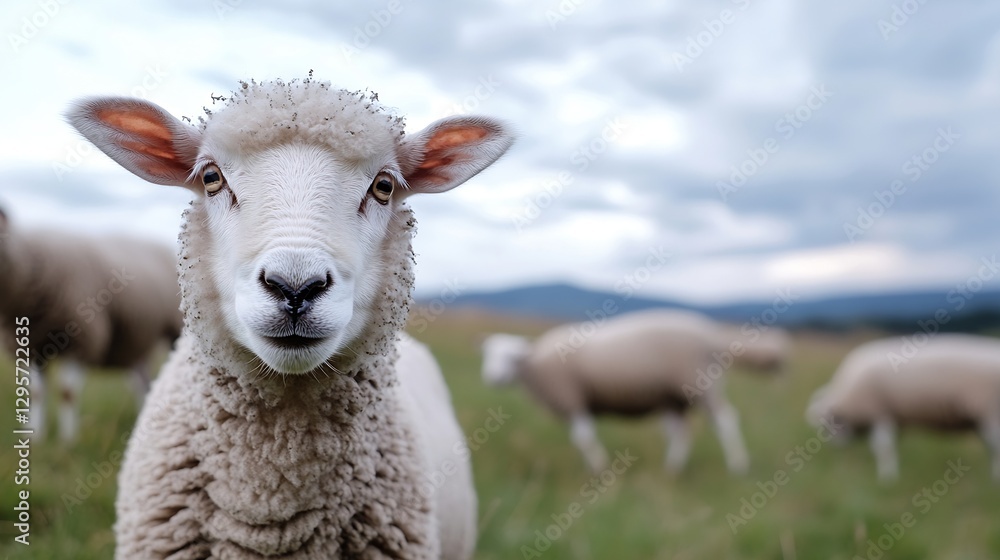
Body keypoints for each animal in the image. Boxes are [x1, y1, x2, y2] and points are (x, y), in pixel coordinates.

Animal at [0, 207, 181, 442]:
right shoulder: (32, 347)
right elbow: (37, 394)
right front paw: (36, 436)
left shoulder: (81, 339)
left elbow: (67, 393)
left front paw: (67, 440)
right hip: (135, 341)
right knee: (142, 382)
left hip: (175, 329)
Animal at [481, 309, 787, 475]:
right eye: (487, 355)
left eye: (512, 358)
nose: (492, 379)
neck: (535, 365)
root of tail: (714, 336)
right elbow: (582, 439)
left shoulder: (573, 398)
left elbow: (583, 438)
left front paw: (599, 468)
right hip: (675, 396)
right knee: (681, 432)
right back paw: (672, 469)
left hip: (702, 383)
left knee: (725, 422)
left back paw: (738, 466)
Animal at [806, 333, 1000, 481]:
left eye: (827, 424)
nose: (837, 447)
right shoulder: (894, 418)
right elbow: (892, 446)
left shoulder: (880, 413)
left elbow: (882, 447)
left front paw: (887, 478)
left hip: (991, 411)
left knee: (995, 445)